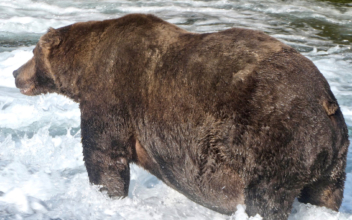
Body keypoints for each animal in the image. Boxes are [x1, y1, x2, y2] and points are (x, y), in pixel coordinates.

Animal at [13, 13, 350, 220]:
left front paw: (106, 195)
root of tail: (327, 104)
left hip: (274, 138)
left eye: (32, 52)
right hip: (332, 162)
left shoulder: (111, 93)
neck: (82, 70)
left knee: (265, 198)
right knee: (324, 195)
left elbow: (104, 155)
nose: (15, 73)